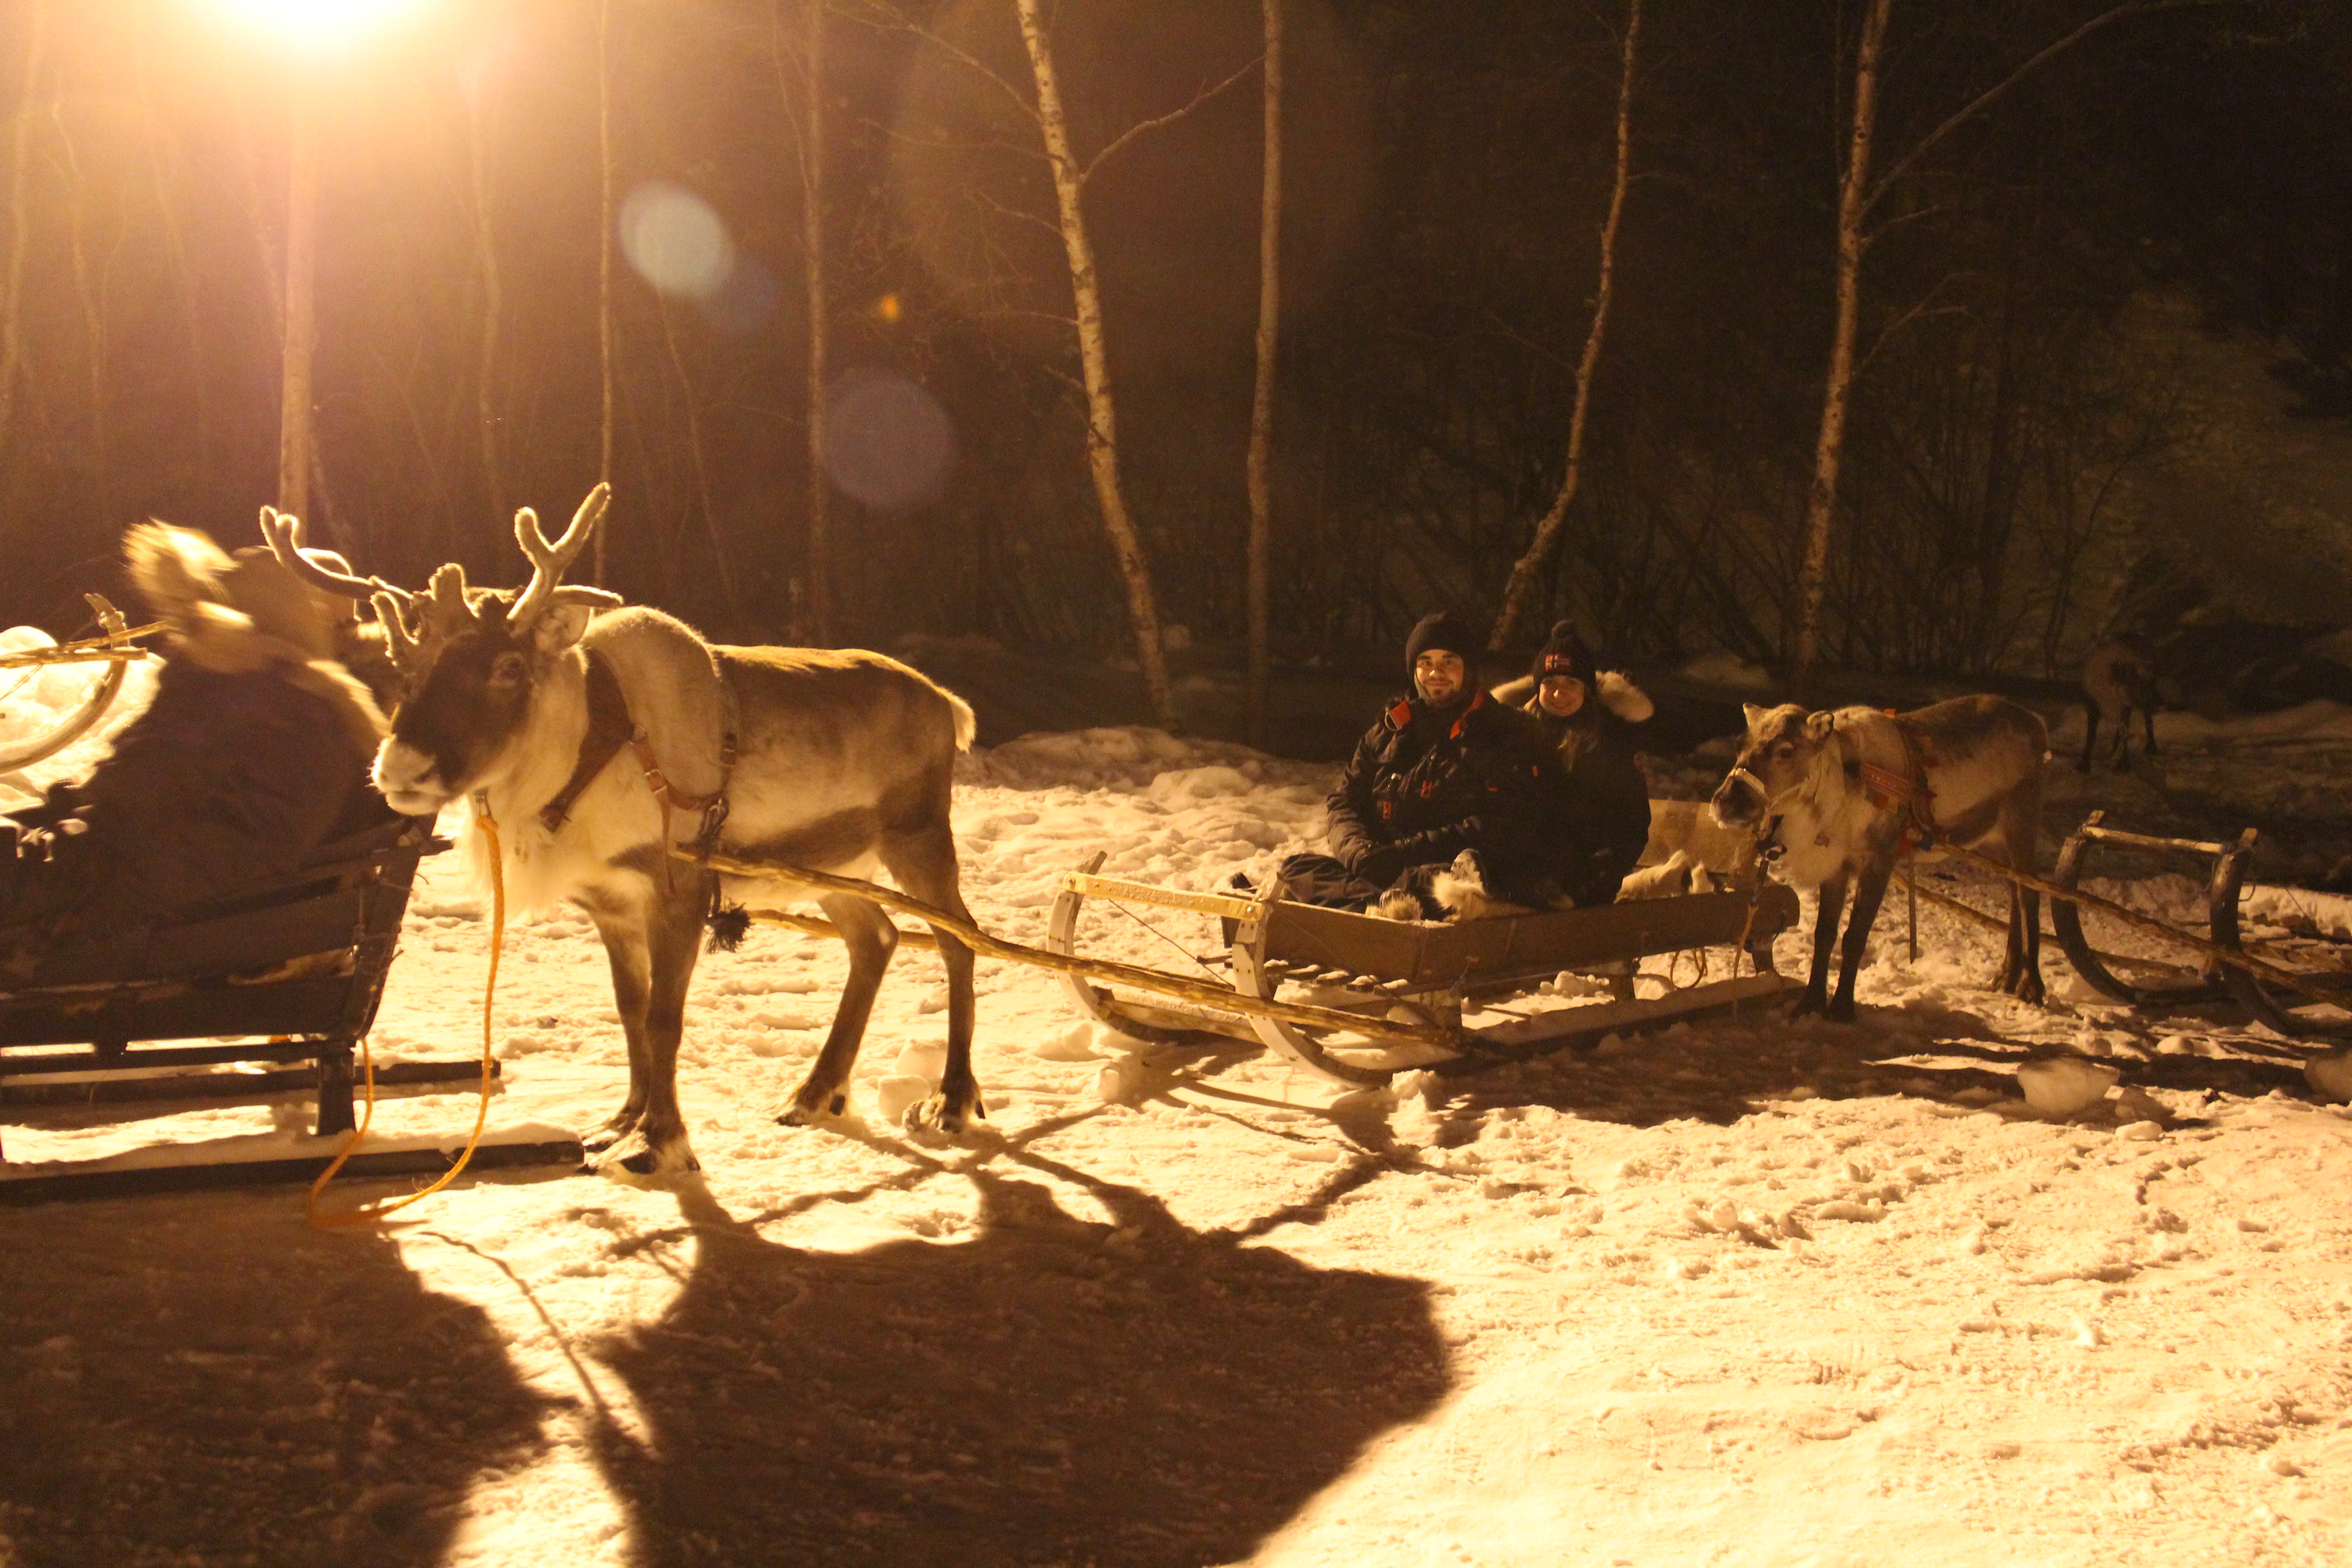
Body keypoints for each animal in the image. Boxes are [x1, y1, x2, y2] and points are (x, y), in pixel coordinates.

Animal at [261, 485, 980, 1176]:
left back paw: (951, 1100)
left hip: (918, 837)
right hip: (835, 867)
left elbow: (665, 1020)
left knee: (958, 940)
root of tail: (948, 702)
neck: (586, 752)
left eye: (508, 666)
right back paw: (813, 1092)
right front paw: (623, 1121)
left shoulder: (680, 890)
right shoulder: (608, 901)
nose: (400, 768)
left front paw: (661, 1141)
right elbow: (631, 1011)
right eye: (402, 663)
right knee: (876, 939)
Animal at [1708, 696, 2048, 1022]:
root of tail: (2036, 723)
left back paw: (2031, 986)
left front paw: (1842, 1009)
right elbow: (1824, 936)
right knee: (2014, 891)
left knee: (2030, 895)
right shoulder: (1837, 867)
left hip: (2022, 823)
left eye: (1786, 751)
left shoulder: (1879, 860)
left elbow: (1855, 937)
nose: (1724, 802)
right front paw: (1809, 1004)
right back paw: (2006, 976)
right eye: (1740, 745)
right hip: (1992, 840)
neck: (1842, 788)